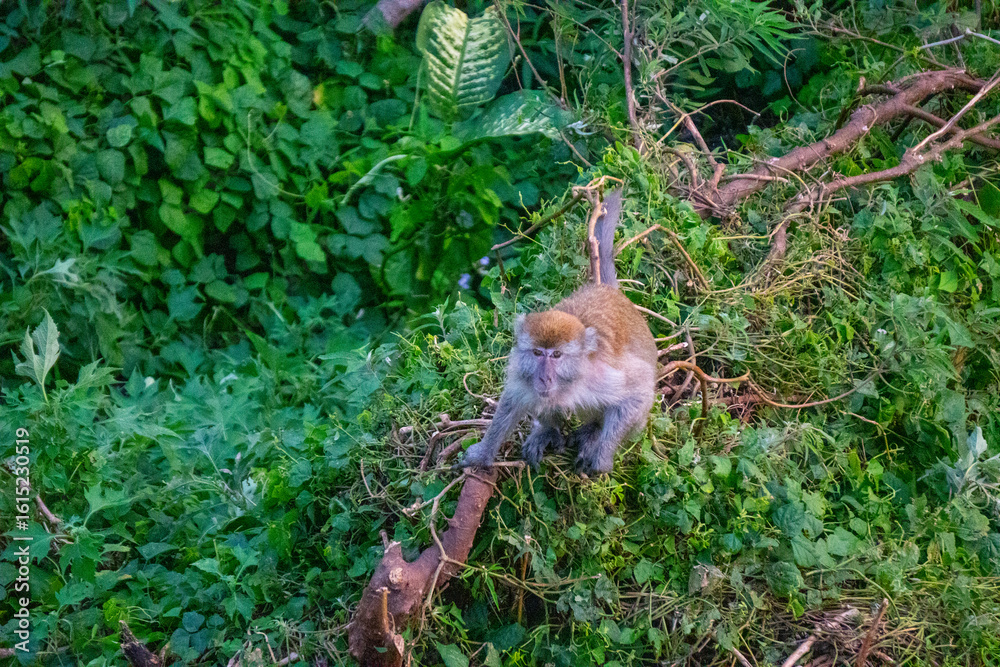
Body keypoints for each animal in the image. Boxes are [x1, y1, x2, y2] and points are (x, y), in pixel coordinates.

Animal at [459, 188, 657, 475]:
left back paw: (592, 433)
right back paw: (548, 431)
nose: (545, 377)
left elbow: (638, 392)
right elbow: (514, 398)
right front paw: (483, 452)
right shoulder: (522, 367)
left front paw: (601, 456)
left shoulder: (602, 376)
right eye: (537, 353)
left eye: (557, 356)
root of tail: (608, 290)